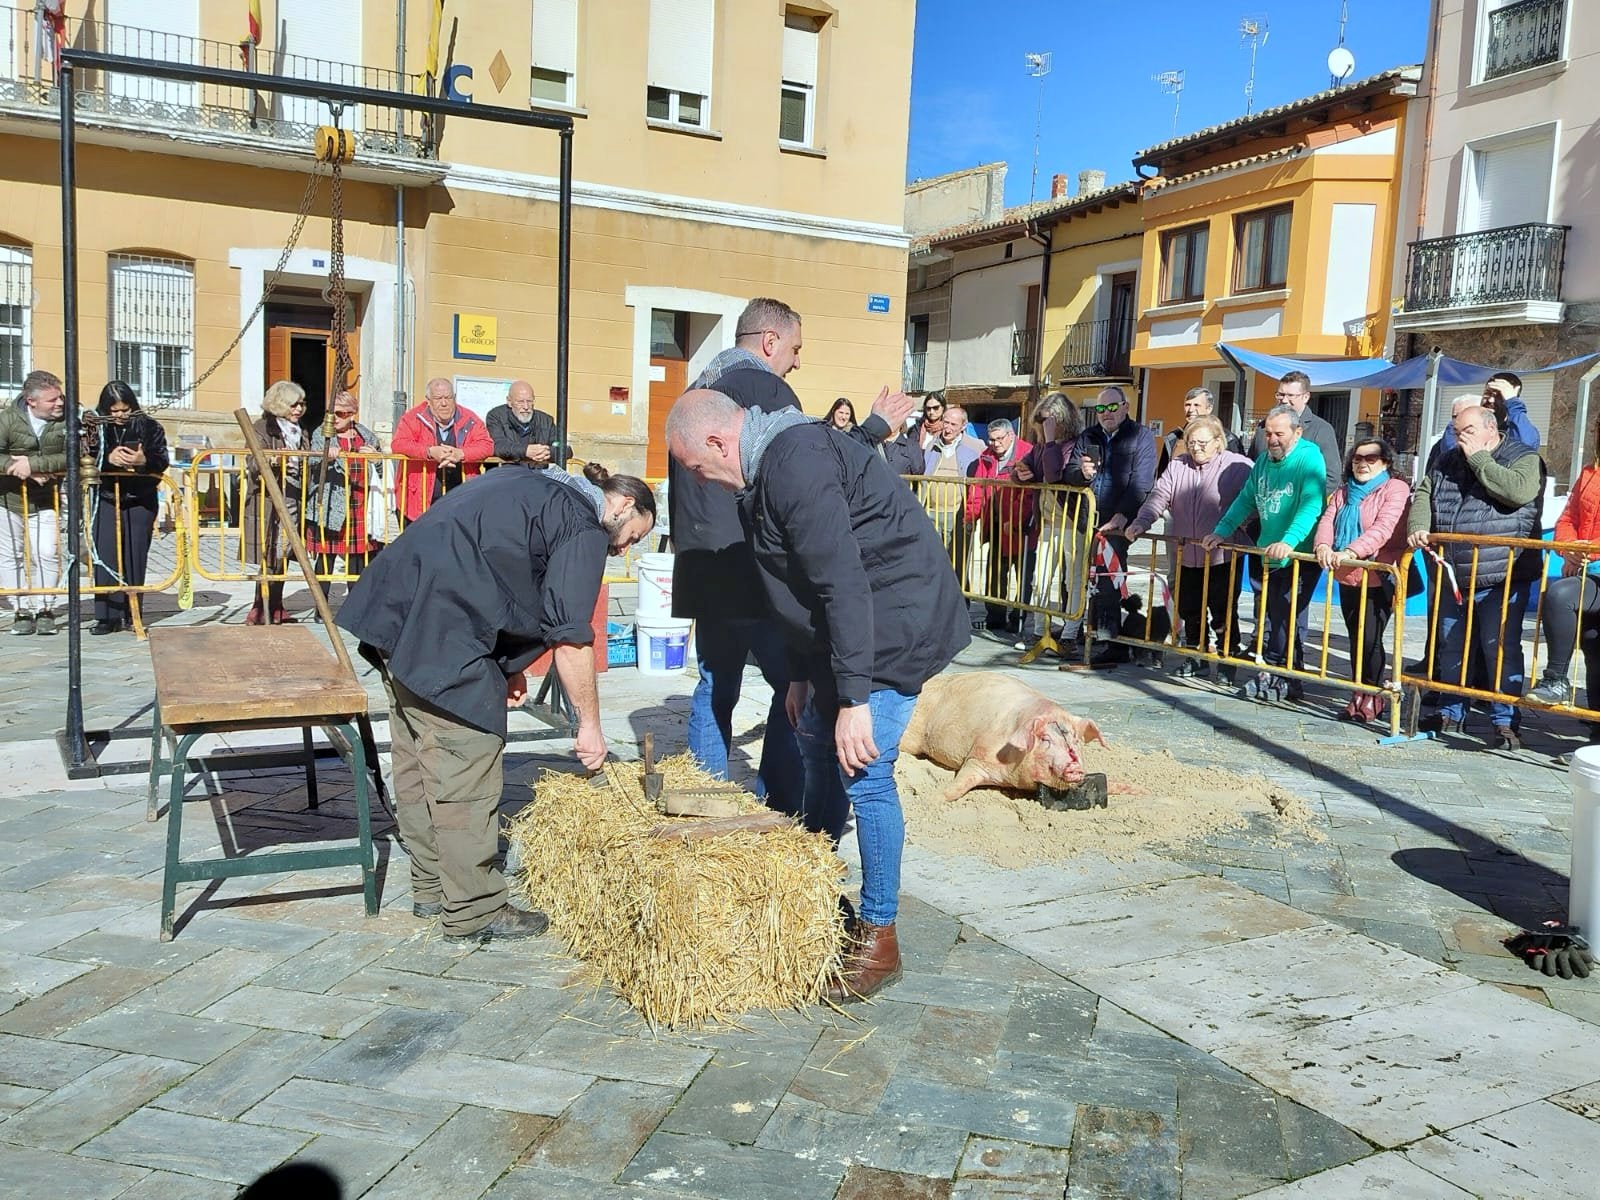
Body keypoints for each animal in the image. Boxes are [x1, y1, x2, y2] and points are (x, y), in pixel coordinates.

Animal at [908, 672, 1107, 803]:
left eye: (1075, 739)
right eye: (1045, 739)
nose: (1075, 766)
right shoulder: (979, 756)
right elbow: (957, 786)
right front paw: (928, 800)